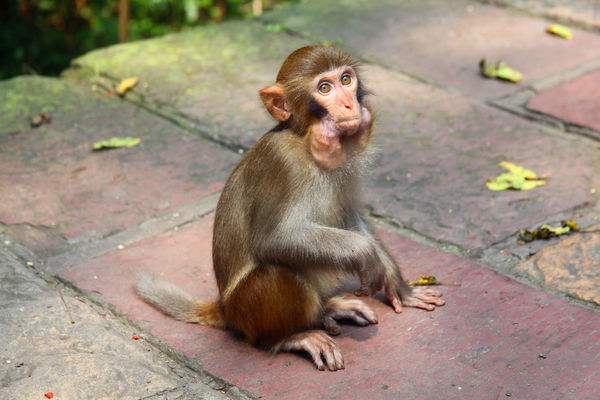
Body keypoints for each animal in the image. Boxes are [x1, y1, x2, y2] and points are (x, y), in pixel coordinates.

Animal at [137, 44, 446, 372]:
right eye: (324, 88)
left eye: (346, 79)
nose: (349, 104)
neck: (305, 141)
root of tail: (225, 309)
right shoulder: (281, 161)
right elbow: (274, 239)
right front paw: (365, 254)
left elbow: (350, 218)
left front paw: (398, 286)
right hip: (247, 310)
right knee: (277, 273)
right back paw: (291, 337)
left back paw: (330, 308)